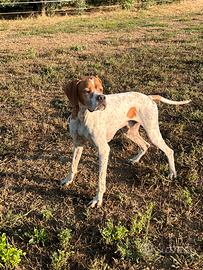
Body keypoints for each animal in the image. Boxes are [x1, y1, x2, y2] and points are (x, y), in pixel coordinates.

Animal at [61, 75, 191, 207]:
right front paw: (68, 180)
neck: (83, 115)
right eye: (86, 91)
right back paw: (135, 160)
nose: (102, 97)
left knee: (169, 151)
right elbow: (73, 166)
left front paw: (97, 199)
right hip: (129, 132)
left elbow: (100, 180)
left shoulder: (103, 150)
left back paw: (172, 173)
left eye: (101, 89)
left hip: (152, 133)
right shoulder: (78, 144)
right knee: (145, 145)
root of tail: (149, 97)